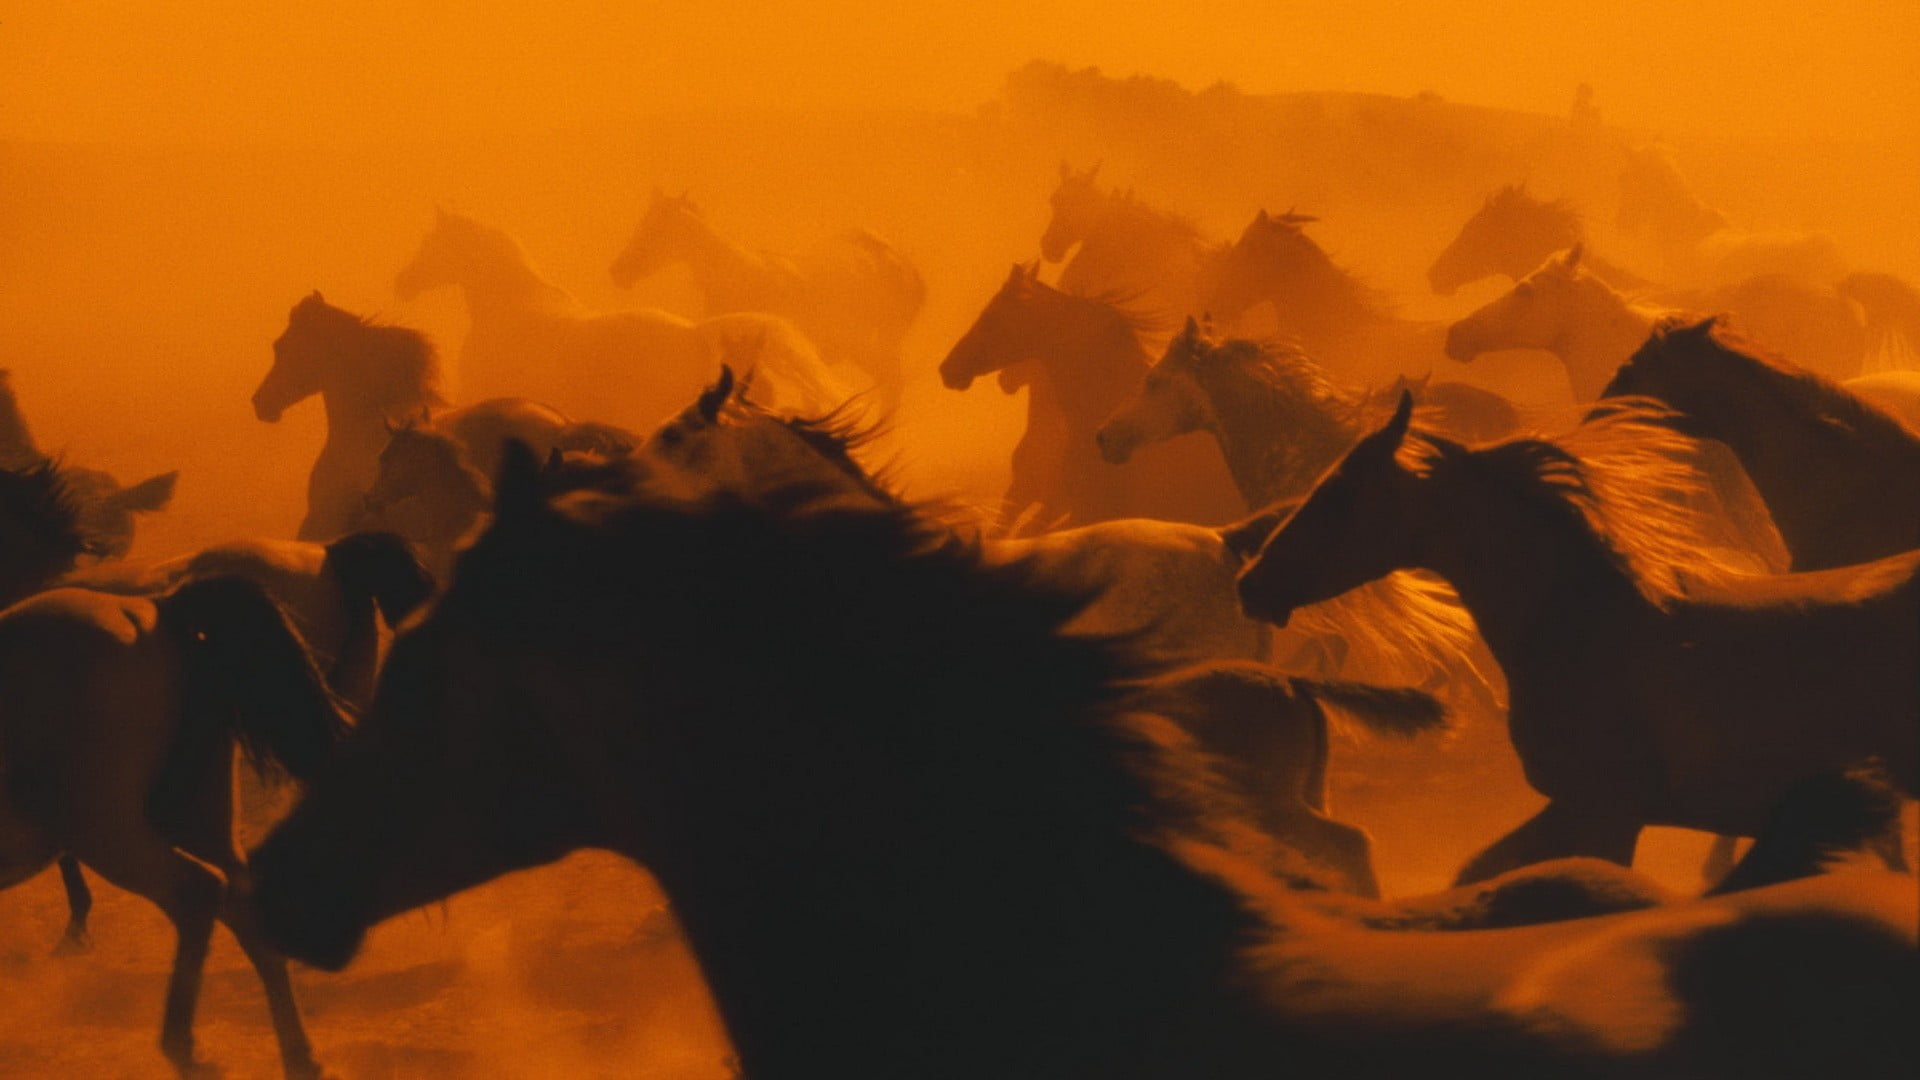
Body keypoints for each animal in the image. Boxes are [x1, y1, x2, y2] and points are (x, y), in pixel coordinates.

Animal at [1, 575, 348, 1079]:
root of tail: (154, 610)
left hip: (108, 831)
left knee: (196, 892)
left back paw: (187, 1052)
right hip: (196, 817)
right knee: (243, 909)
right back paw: (301, 1058)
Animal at [609, 189, 925, 403]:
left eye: (655, 231)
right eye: (642, 223)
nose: (618, 271)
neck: (738, 277)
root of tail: (904, 264)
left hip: (873, 345)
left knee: (891, 385)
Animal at [1238, 392, 1920, 887]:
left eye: (1339, 494)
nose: (1252, 583)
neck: (1583, 623)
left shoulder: (1608, 810)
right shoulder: (1571, 807)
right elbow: (1477, 874)